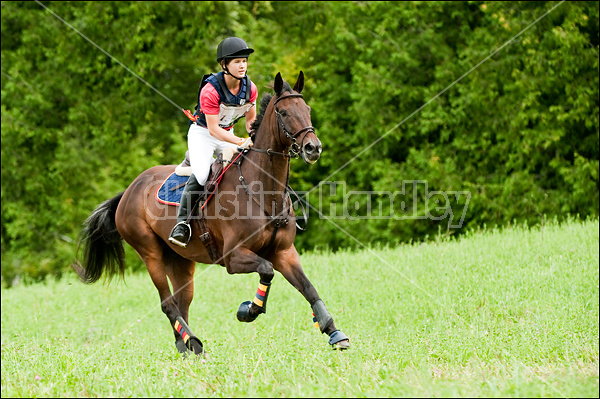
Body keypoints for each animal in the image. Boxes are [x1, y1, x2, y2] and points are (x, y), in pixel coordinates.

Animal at [74, 72, 352, 356]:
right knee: (167, 302)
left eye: (307, 110)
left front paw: (333, 331)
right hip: (149, 252)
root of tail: (129, 190)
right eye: (284, 112)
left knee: (181, 300)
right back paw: (194, 343)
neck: (262, 191)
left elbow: (307, 287)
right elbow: (267, 270)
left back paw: (185, 346)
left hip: (180, 260)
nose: (313, 148)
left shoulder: (284, 252)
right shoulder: (233, 256)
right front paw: (249, 310)